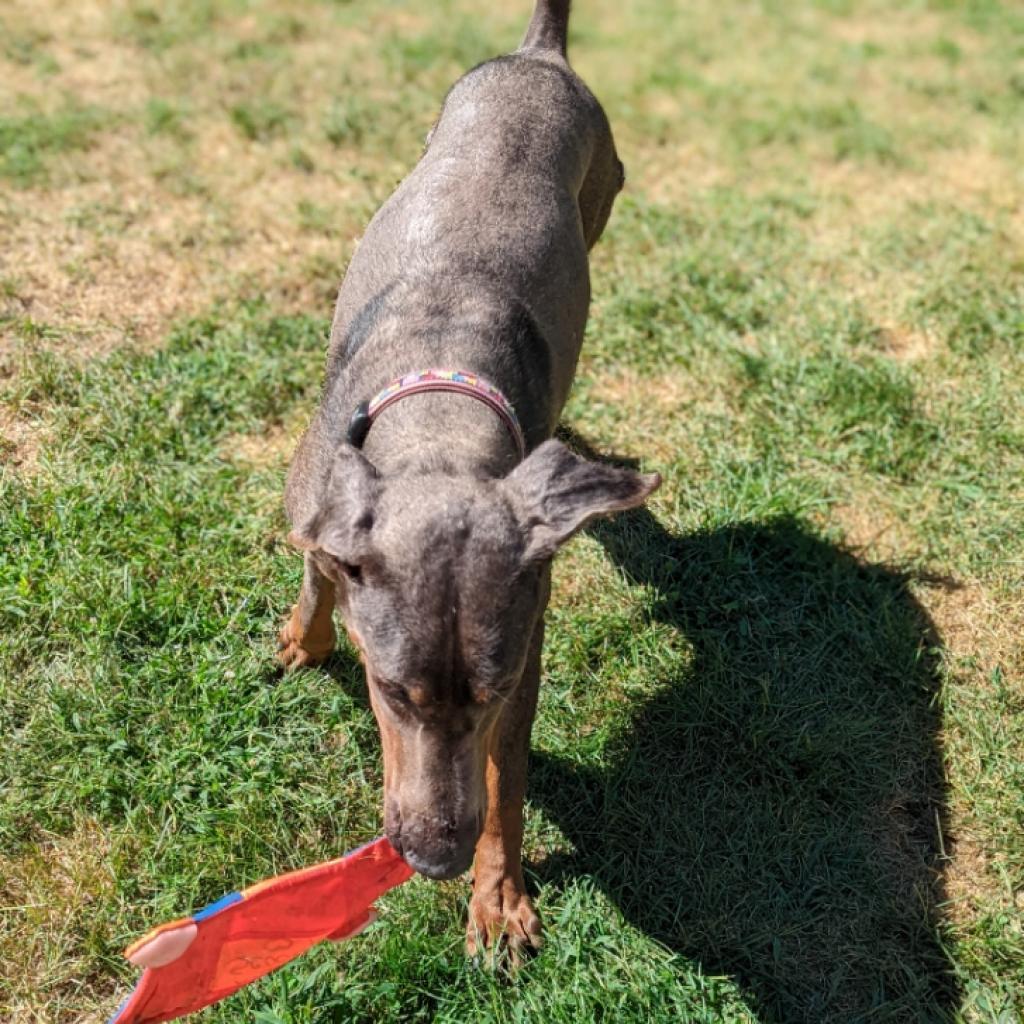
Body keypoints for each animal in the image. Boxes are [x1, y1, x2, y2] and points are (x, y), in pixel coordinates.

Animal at [280, 0, 659, 958]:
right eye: (387, 689)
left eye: (486, 693)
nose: (433, 860)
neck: (442, 422)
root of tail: (539, 57)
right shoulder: (319, 500)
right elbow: (318, 571)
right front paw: (305, 640)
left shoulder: (525, 644)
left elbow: (509, 782)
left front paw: (500, 899)